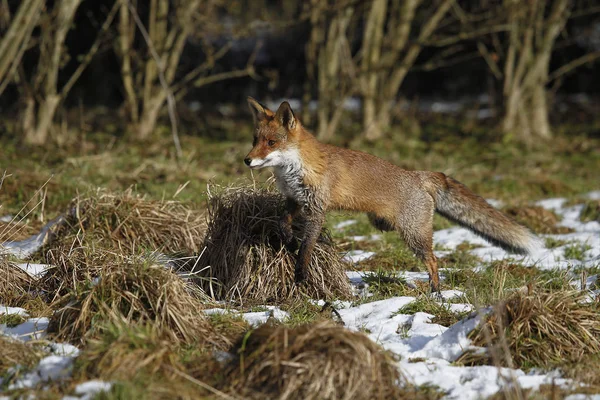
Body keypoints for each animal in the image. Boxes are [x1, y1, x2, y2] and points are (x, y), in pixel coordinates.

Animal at [243, 97, 540, 290]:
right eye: (255, 141)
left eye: (271, 143)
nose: (247, 160)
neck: (294, 171)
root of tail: (419, 174)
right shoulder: (295, 200)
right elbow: (282, 224)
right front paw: (288, 241)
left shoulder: (317, 209)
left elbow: (307, 247)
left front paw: (301, 274)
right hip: (384, 224)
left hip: (413, 234)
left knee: (433, 260)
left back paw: (436, 292)